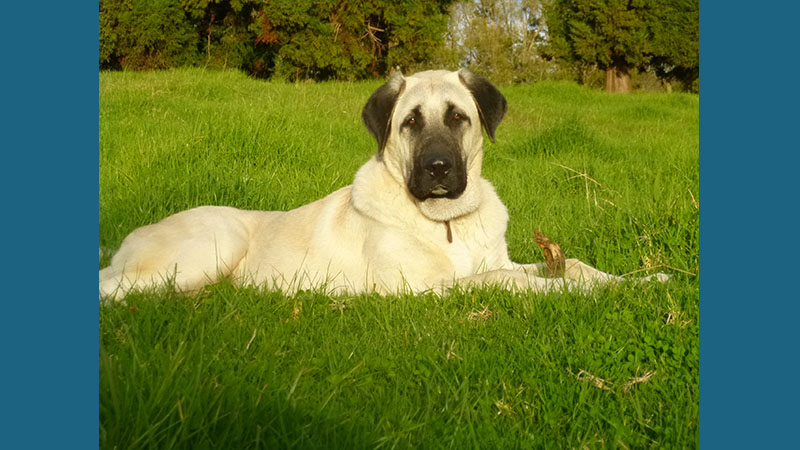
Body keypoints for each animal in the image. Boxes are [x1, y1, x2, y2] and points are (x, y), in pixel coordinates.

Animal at [98, 69, 668, 302]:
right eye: (411, 122)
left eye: (458, 117)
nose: (438, 169)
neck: (445, 223)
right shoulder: (421, 287)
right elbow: (509, 282)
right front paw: (571, 293)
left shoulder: (501, 260)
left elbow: (574, 264)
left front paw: (641, 281)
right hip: (210, 245)